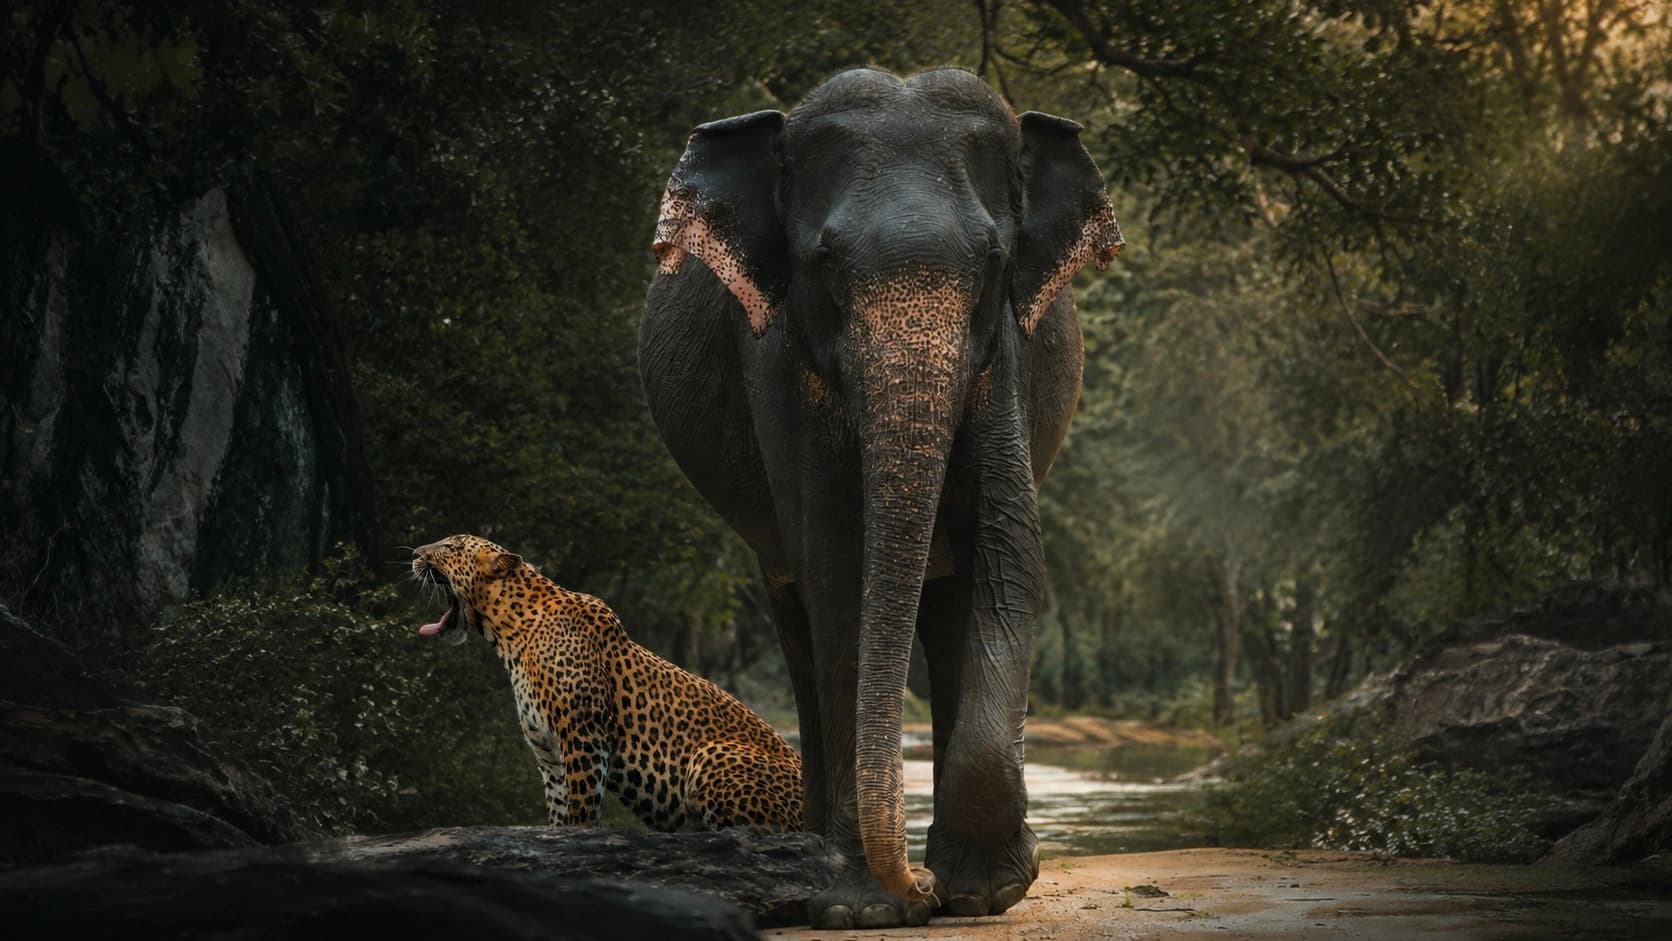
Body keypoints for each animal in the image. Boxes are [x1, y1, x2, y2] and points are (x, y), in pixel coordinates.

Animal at [638, 67, 1122, 929]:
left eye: (994, 258)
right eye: (826, 260)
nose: (919, 891)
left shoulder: (1007, 352)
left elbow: (1006, 546)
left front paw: (981, 891)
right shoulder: (778, 361)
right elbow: (838, 560)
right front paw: (863, 909)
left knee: (949, 600)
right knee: (798, 614)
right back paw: (810, 859)